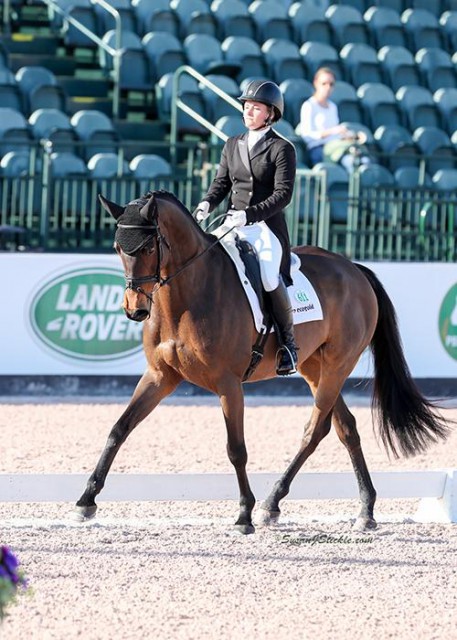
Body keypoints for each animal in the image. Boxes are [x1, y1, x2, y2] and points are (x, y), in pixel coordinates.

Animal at [73, 190, 448, 536]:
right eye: (118, 248)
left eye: (149, 249)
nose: (134, 309)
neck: (185, 297)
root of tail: (354, 268)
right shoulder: (159, 376)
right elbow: (119, 429)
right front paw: (85, 502)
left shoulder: (228, 384)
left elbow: (236, 449)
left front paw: (244, 514)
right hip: (315, 368)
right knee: (344, 428)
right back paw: (362, 508)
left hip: (338, 366)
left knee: (315, 430)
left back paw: (272, 504)